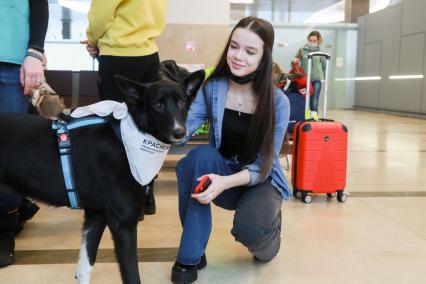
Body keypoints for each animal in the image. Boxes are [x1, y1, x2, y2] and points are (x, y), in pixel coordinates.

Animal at [0, 69, 206, 284]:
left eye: (181, 102)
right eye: (157, 105)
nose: (180, 132)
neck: (128, 139)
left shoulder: (95, 216)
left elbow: (84, 269)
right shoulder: (124, 223)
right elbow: (132, 275)